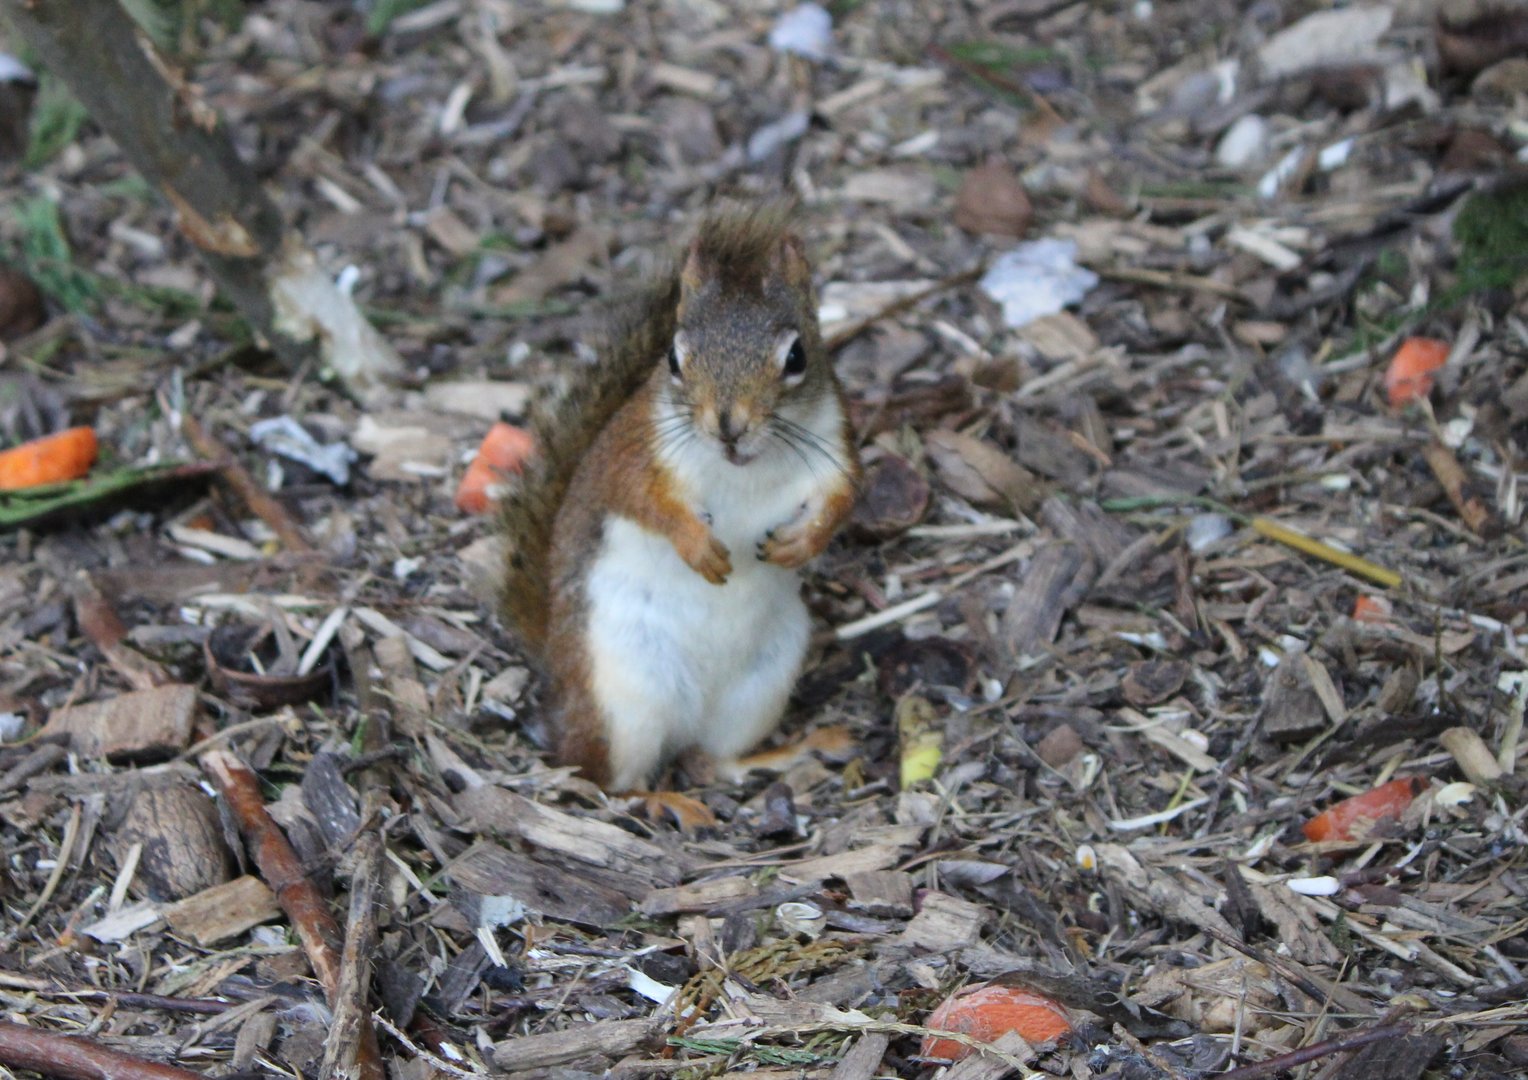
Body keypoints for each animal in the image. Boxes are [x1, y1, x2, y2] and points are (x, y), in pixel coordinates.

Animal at [498, 204, 861, 794]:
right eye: (673, 356)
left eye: (797, 355)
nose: (729, 425)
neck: (744, 467)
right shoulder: (629, 454)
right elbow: (643, 501)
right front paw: (699, 547)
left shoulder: (836, 448)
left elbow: (844, 497)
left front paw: (801, 543)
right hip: (622, 698)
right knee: (611, 779)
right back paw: (659, 799)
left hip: (761, 682)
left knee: (714, 758)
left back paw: (794, 751)